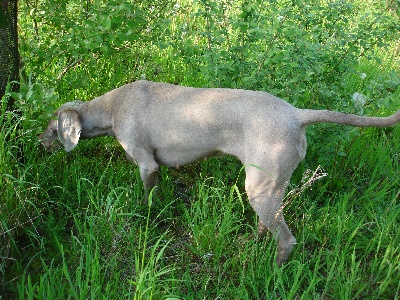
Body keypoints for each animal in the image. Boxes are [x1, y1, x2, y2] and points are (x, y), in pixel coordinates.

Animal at [39, 79, 400, 264]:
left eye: (52, 129)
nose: (39, 144)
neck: (112, 108)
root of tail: (297, 114)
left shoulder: (147, 163)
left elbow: (147, 199)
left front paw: (144, 217)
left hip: (261, 186)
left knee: (286, 240)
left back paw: (273, 271)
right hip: (268, 185)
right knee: (267, 225)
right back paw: (248, 245)